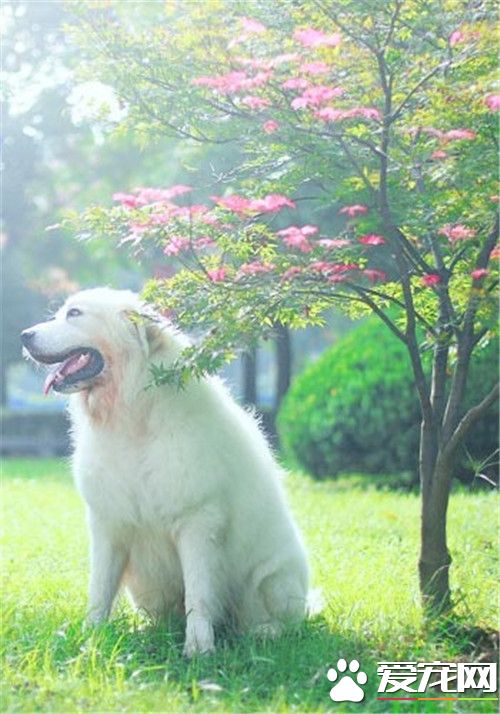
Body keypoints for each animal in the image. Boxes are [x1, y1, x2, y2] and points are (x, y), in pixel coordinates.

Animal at [22, 288, 308, 652]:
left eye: (74, 314)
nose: (24, 335)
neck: (132, 419)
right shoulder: (108, 525)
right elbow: (99, 589)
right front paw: (91, 638)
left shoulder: (197, 521)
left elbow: (198, 593)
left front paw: (199, 649)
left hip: (273, 576)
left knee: (279, 620)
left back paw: (263, 632)